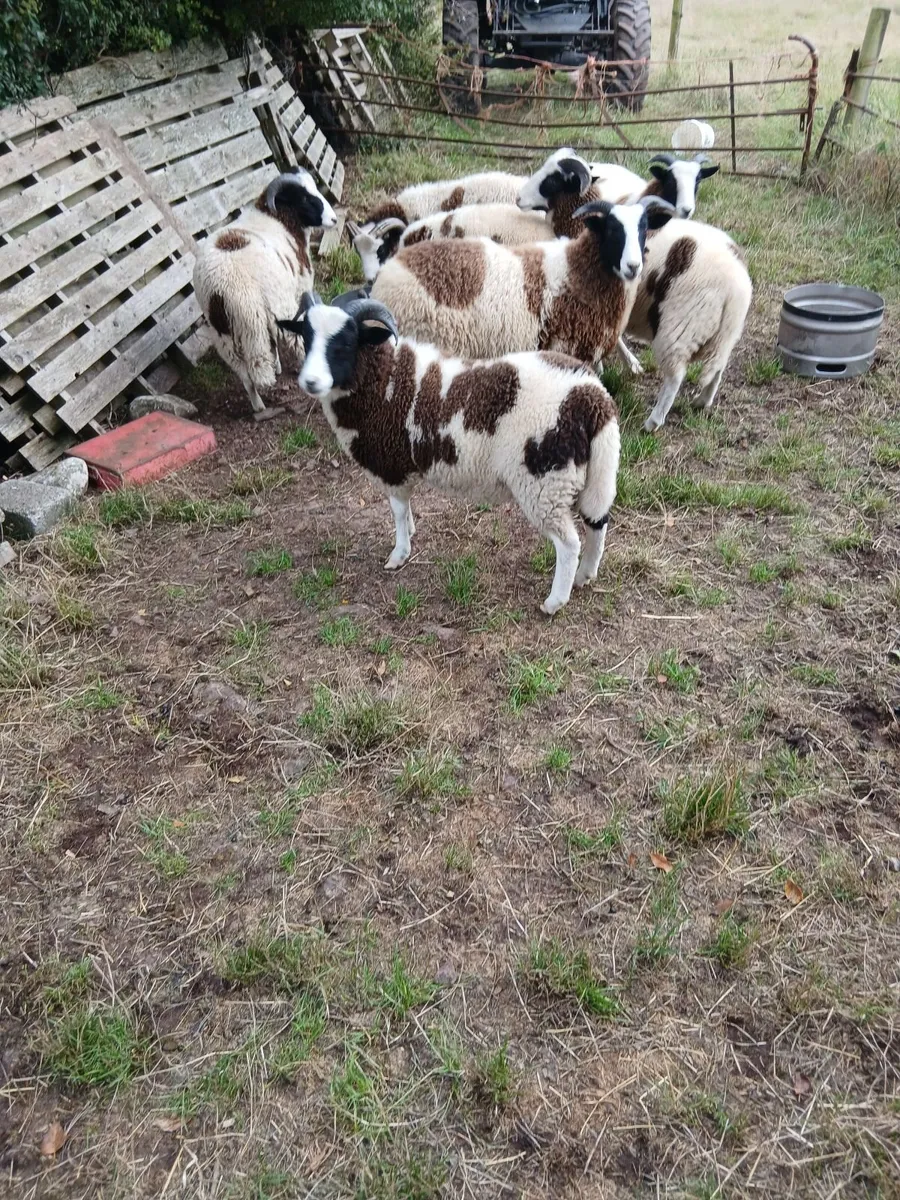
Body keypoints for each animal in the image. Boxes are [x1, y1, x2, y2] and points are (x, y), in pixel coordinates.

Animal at [192, 167, 336, 417]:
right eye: (305, 198)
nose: (334, 219)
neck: (280, 219)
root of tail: (226, 290)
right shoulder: (298, 288)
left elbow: (272, 342)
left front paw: (277, 367)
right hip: (279, 307)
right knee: (295, 341)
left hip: (223, 334)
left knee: (245, 375)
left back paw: (258, 406)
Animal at [277, 293, 620, 615]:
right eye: (306, 337)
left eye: (346, 342)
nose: (310, 382)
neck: (384, 379)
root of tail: (592, 397)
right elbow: (405, 509)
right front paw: (411, 531)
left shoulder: (392, 465)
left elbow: (397, 511)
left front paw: (399, 554)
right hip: (593, 474)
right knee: (597, 522)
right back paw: (585, 576)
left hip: (544, 482)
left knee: (569, 543)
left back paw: (555, 601)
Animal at [517, 151, 751, 422]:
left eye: (554, 179)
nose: (519, 198)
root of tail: (736, 287)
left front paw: (613, 364)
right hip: (727, 335)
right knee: (718, 368)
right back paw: (702, 401)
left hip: (681, 327)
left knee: (675, 377)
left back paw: (653, 421)